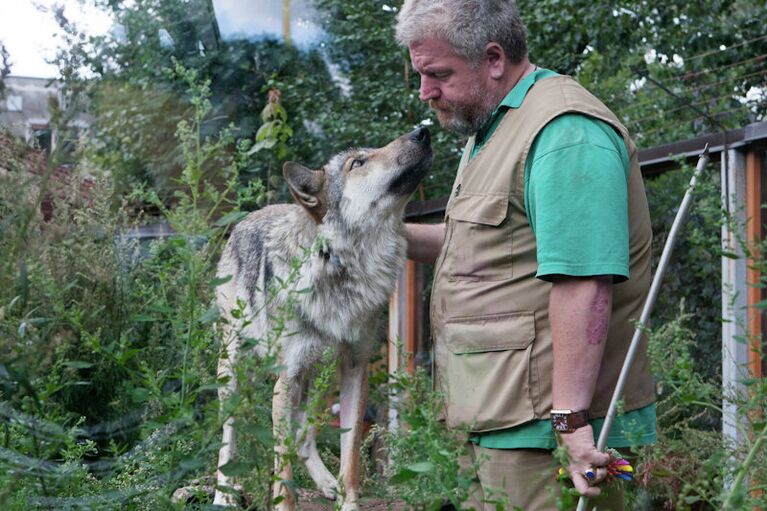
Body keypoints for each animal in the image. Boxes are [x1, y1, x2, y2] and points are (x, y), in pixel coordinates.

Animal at [213, 128, 436, 511]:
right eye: (357, 163)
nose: (422, 130)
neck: (341, 265)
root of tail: (247, 218)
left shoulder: (355, 370)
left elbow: (351, 461)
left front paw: (347, 501)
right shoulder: (286, 378)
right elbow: (282, 473)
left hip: (318, 377)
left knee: (304, 436)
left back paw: (327, 484)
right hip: (235, 371)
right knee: (231, 434)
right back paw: (222, 494)